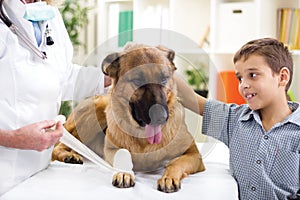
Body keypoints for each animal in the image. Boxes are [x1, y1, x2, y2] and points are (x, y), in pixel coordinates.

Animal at [52, 43, 205, 192]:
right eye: (137, 80)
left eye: (163, 79)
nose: (161, 117)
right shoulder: (111, 149)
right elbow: (124, 154)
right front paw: (124, 173)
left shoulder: (194, 154)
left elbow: (176, 163)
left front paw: (169, 177)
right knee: (58, 146)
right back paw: (69, 155)